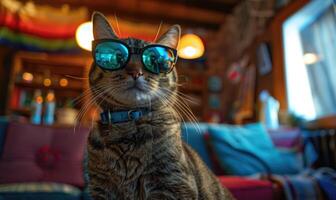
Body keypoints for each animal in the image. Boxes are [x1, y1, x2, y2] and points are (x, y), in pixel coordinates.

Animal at [86, 11, 234, 199]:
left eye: (154, 59)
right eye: (118, 57)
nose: (135, 72)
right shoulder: (101, 187)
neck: (129, 124)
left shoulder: (173, 183)